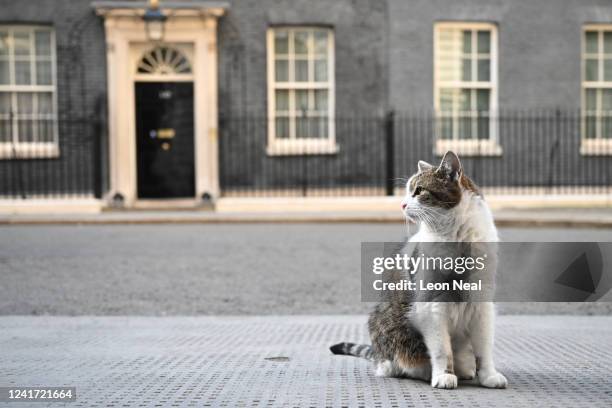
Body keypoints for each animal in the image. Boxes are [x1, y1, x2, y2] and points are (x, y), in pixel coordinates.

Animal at [330, 151, 506, 390]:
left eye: (419, 191)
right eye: (407, 192)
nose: (402, 204)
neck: (455, 238)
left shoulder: (482, 304)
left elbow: (484, 349)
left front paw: (488, 375)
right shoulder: (432, 306)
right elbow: (442, 350)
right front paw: (444, 375)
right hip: (386, 325)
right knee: (393, 362)